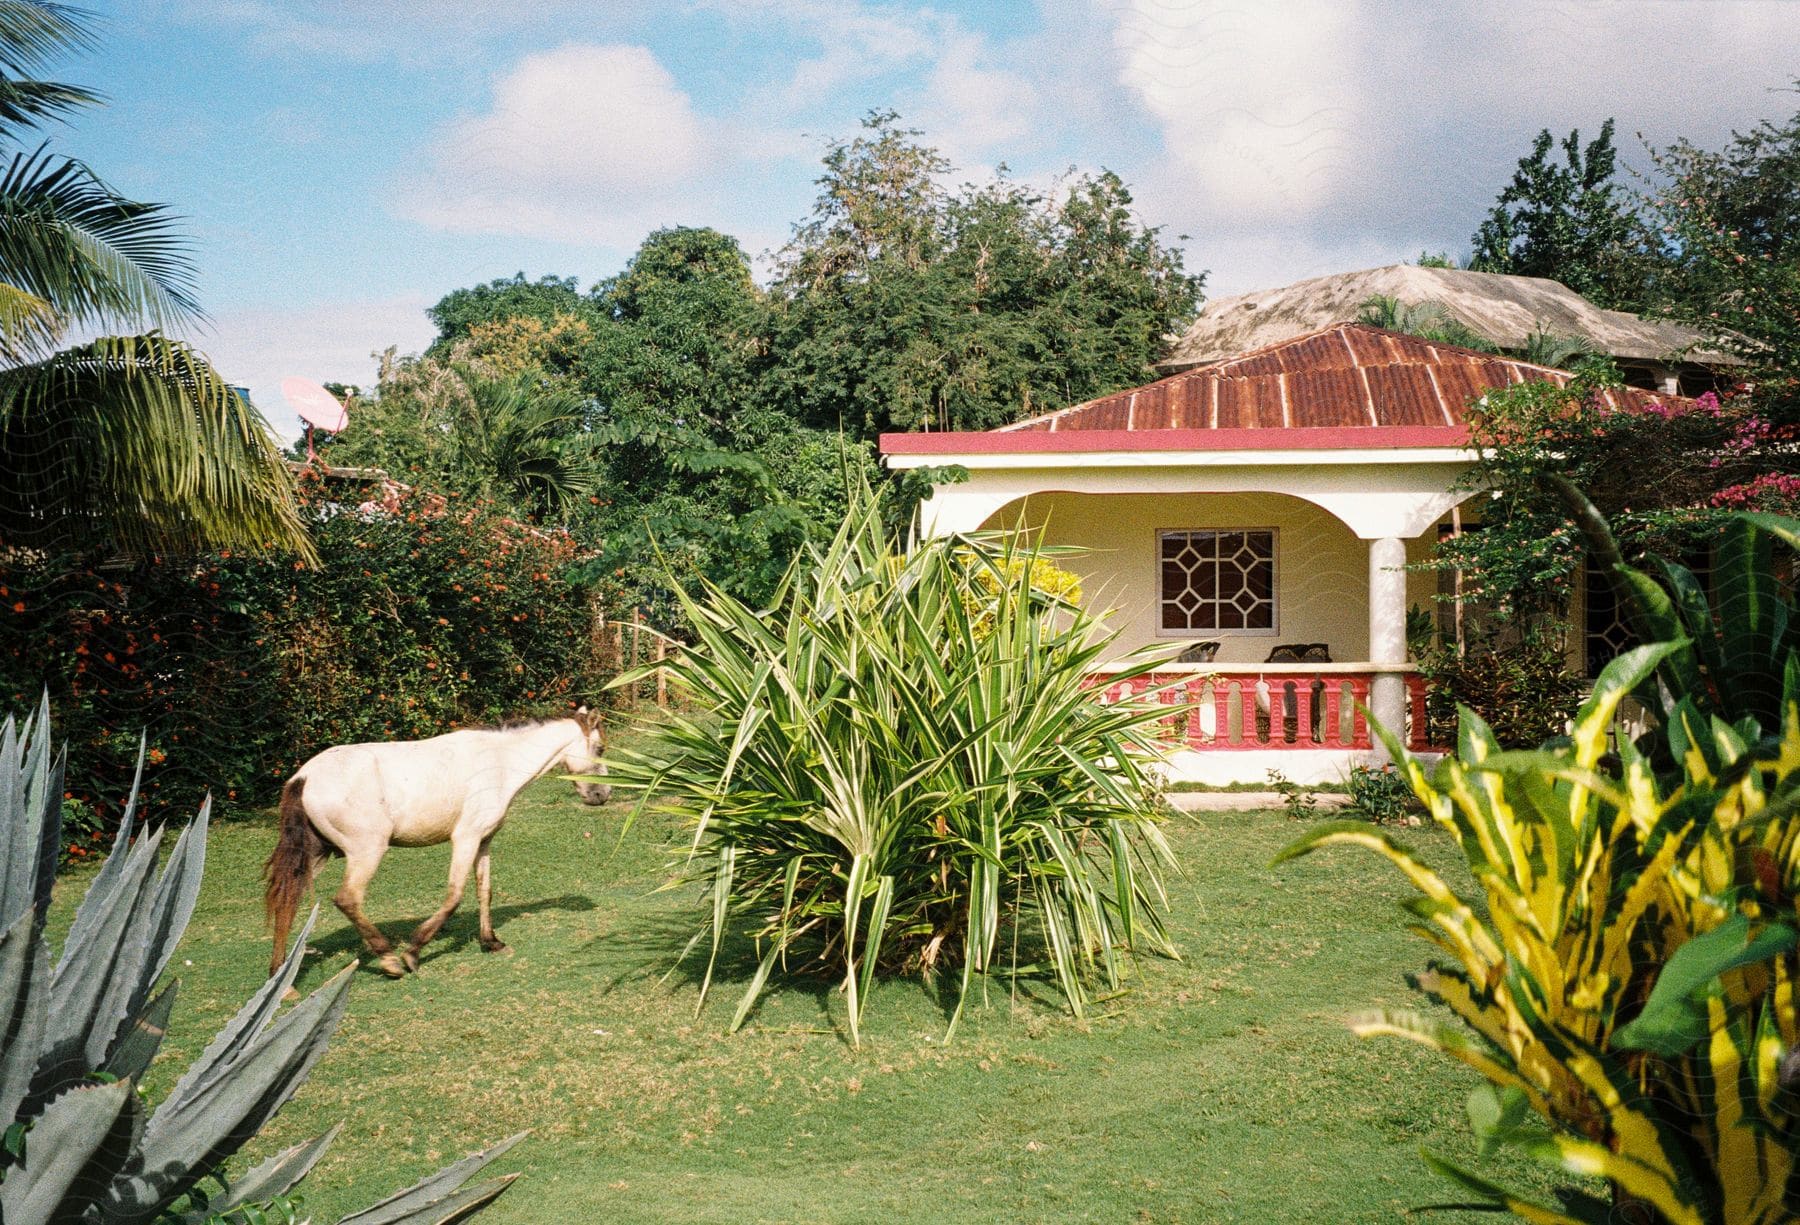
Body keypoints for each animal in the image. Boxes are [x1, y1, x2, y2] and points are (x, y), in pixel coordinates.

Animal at [262, 708, 612, 971]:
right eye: (600, 749)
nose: (603, 794)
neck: (499, 762)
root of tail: (304, 776)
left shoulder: (484, 841)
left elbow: (484, 891)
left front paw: (491, 941)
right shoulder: (465, 838)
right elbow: (454, 895)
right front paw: (414, 951)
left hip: (315, 854)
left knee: (286, 901)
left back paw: (282, 980)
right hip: (366, 851)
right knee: (347, 899)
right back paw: (389, 960)